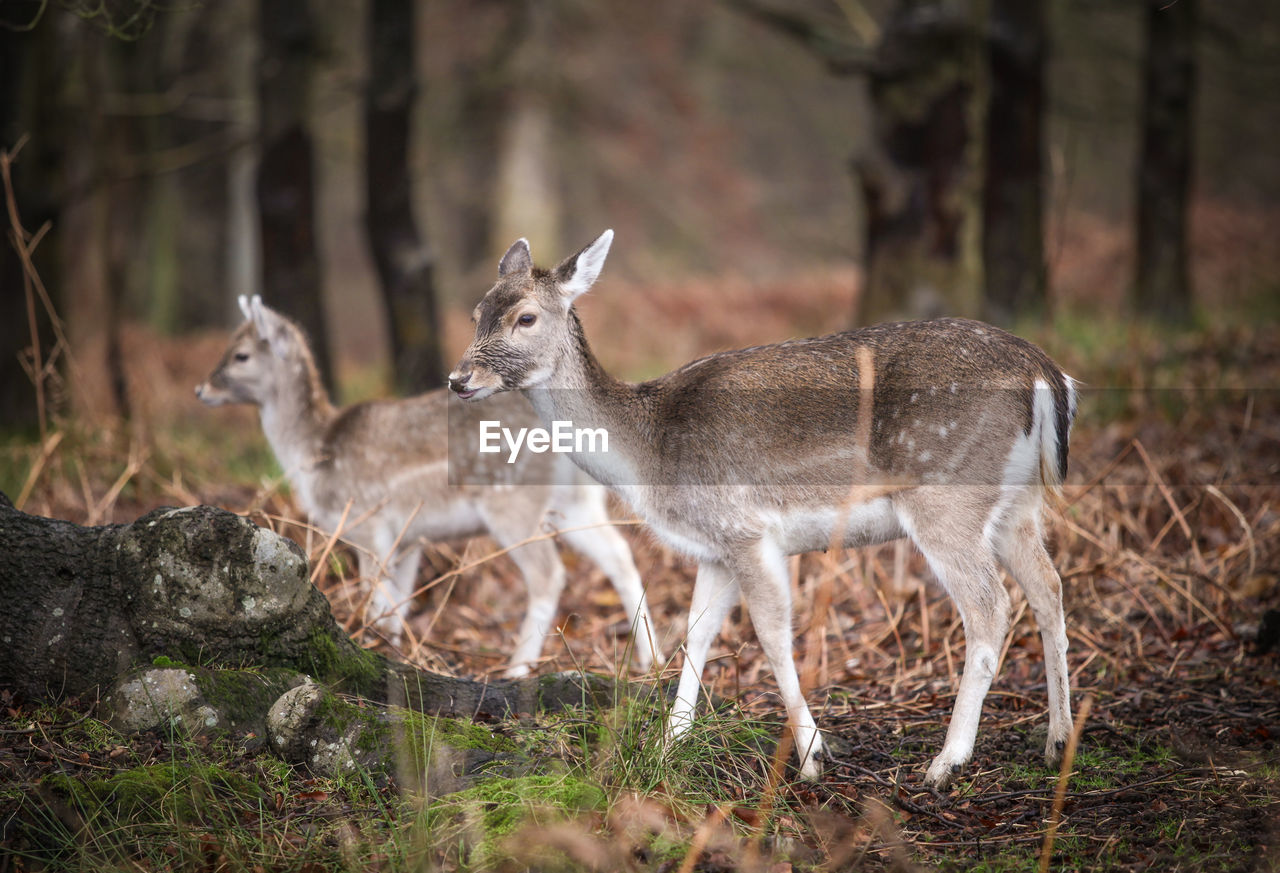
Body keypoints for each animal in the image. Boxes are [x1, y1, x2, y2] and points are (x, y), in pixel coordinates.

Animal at [195, 295, 665, 675]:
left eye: (240, 355)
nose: (202, 389)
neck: (316, 454)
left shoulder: (367, 523)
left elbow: (375, 596)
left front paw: (375, 646)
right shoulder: (408, 539)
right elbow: (397, 605)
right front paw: (392, 652)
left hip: (512, 501)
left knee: (549, 574)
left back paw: (517, 669)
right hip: (576, 500)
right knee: (619, 555)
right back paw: (651, 660)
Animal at [445, 231, 1075, 788]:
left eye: (526, 317)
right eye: (477, 311)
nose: (458, 378)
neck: (650, 456)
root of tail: (1047, 372)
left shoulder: (745, 530)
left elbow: (772, 636)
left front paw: (812, 756)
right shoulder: (713, 548)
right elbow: (696, 633)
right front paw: (669, 746)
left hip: (947, 494)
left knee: (991, 608)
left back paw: (947, 762)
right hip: (1017, 502)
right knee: (1049, 586)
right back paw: (1058, 740)